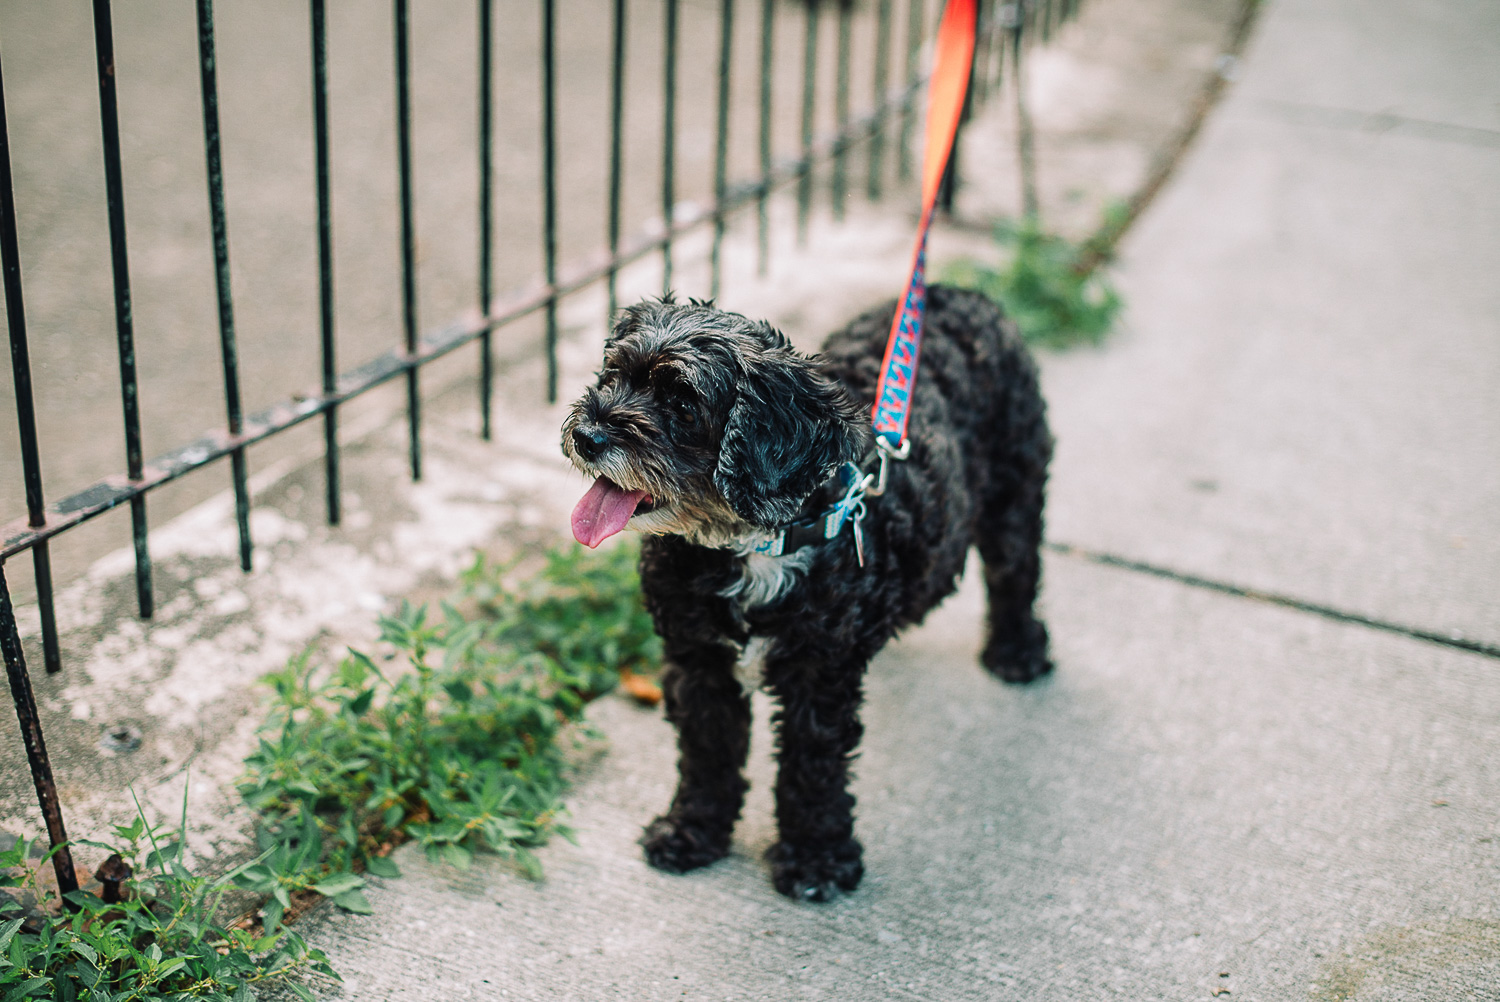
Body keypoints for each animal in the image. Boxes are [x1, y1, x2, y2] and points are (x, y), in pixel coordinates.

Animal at [564, 283, 1056, 900]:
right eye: (612, 375)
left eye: (683, 405)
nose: (586, 435)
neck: (753, 542)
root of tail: (960, 292)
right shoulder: (697, 659)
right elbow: (706, 754)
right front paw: (692, 831)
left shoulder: (818, 674)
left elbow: (812, 766)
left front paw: (817, 859)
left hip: (1015, 488)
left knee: (1016, 571)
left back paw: (1017, 653)